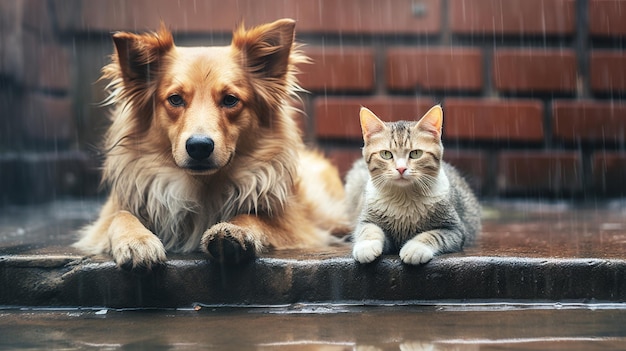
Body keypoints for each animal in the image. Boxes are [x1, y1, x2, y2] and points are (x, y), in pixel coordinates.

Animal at [75, 19, 348, 270]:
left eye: (230, 100)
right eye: (175, 99)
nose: (199, 146)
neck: (200, 187)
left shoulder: (298, 225)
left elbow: (255, 218)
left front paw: (233, 231)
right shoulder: (107, 218)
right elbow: (120, 216)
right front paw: (137, 241)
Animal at [344, 106, 480, 266]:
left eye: (416, 153)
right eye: (386, 154)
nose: (401, 169)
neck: (404, 197)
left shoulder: (455, 230)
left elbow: (433, 235)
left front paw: (415, 248)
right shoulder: (368, 220)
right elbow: (368, 229)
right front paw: (366, 246)